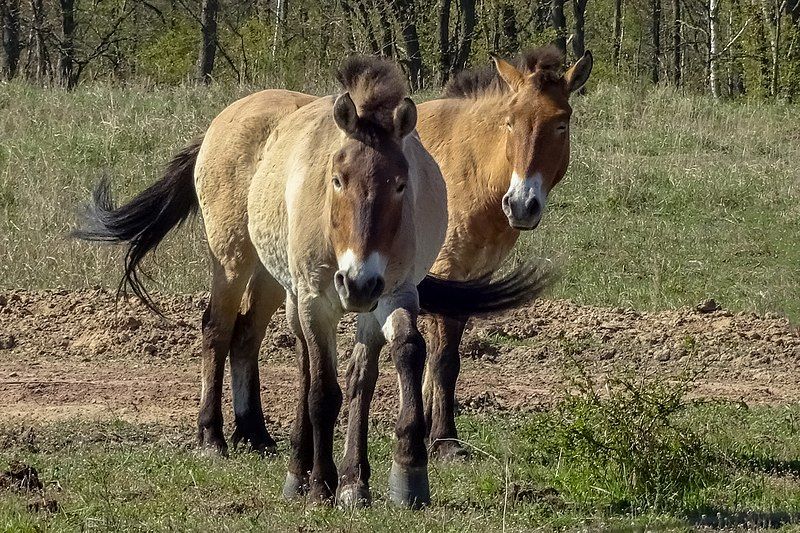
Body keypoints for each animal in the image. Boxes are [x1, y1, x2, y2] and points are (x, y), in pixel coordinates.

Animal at [76, 56, 552, 504]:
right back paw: (220, 441)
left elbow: (392, 362)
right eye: (337, 179)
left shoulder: (395, 292)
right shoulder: (317, 301)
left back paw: (260, 437)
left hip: (277, 283)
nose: (357, 283)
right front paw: (323, 484)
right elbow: (324, 392)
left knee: (258, 339)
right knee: (222, 331)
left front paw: (388, 476)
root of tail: (220, 124)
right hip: (236, 262)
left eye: (401, 184)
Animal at [340, 47, 592, 460]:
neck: (473, 169)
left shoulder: (473, 279)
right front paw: (443, 439)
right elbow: (441, 359)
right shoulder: (447, 271)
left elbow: (450, 360)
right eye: (510, 122)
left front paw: (432, 429)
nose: (521, 205)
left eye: (561, 124)